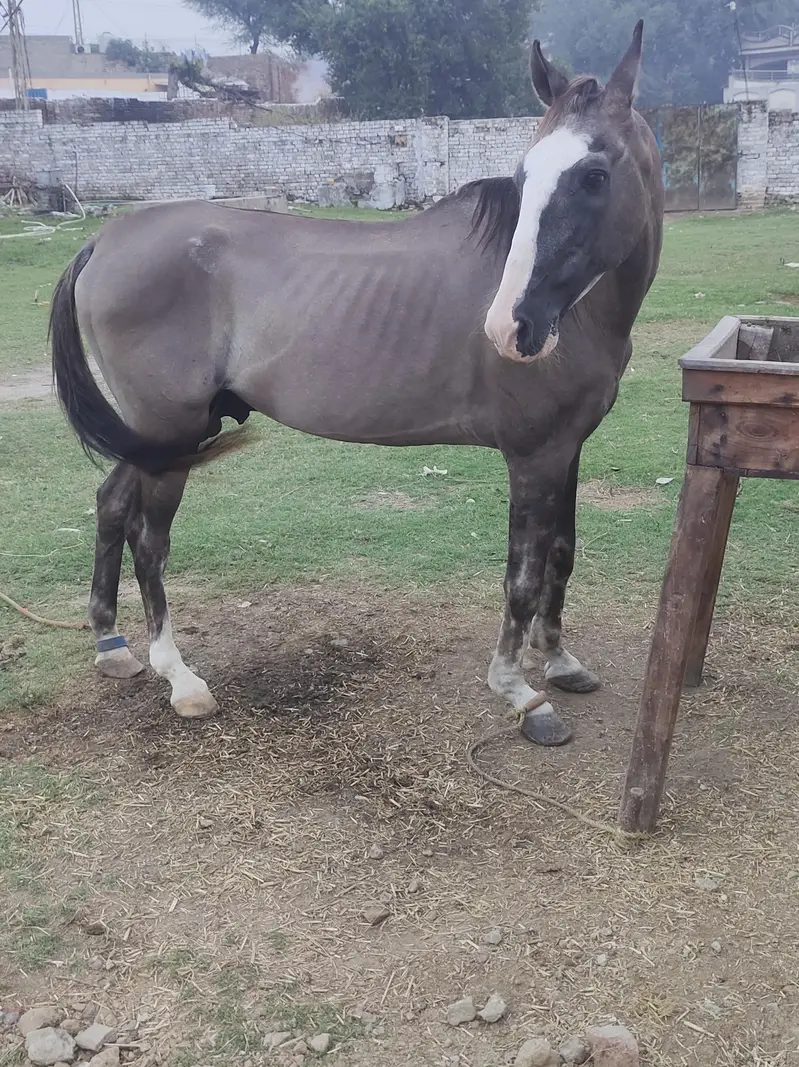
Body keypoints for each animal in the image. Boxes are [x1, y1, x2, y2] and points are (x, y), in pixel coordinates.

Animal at [50, 22, 663, 747]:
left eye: (594, 176)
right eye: (523, 176)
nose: (511, 326)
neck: (582, 311)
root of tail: (105, 239)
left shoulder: (567, 448)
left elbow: (561, 554)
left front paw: (561, 661)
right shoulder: (532, 456)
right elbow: (522, 573)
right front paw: (520, 693)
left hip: (158, 435)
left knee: (112, 503)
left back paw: (110, 643)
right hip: (169, 435)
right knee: (150, 543)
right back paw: (181, 679)